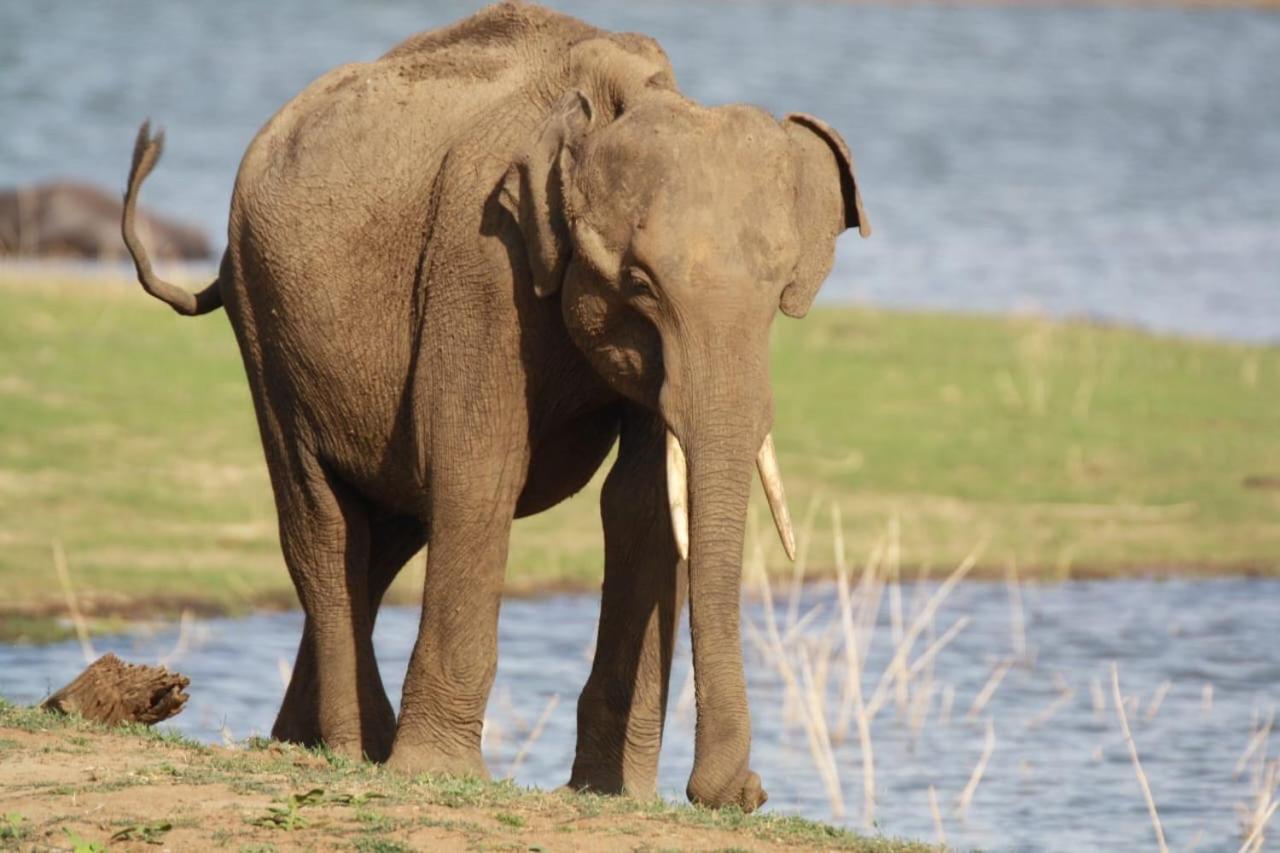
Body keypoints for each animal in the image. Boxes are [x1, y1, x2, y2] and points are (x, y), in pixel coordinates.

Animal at [120, 1, 865, 809]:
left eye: (780, 290)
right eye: (639, 285)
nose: (748, 791)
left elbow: (638, 501)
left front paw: (611, 793)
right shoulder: (481, 259)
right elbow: (481, 468)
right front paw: (436, 772)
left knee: (385, 534)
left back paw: (306, 741)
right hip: (263, 320)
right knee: (323, 521)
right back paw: (353, 748)